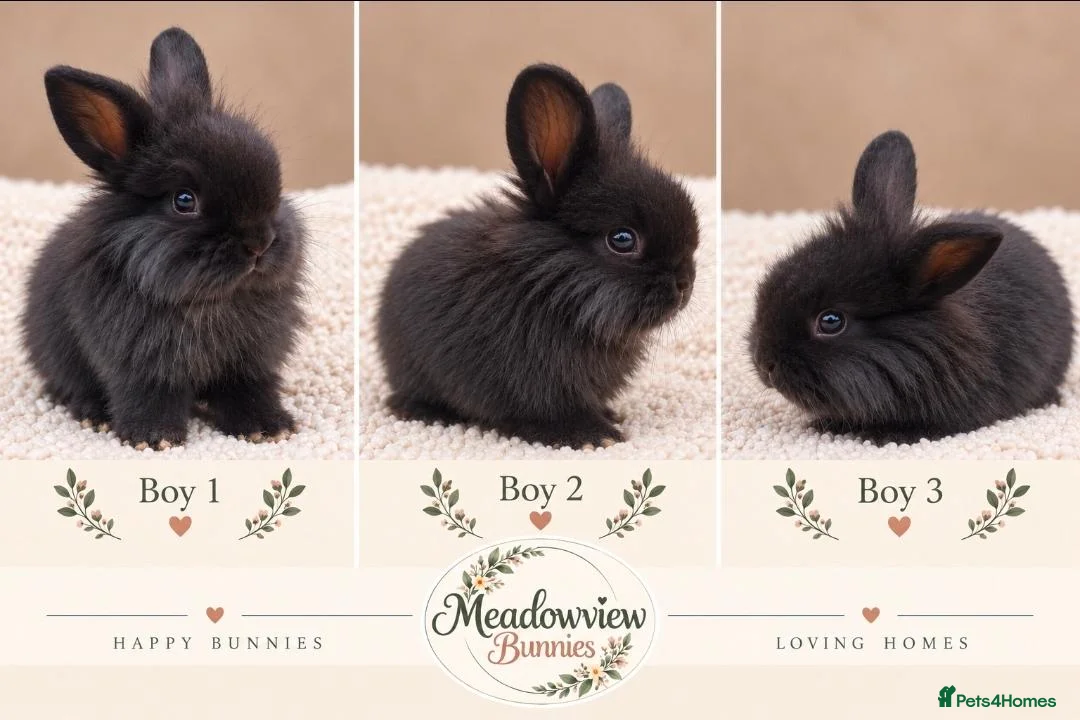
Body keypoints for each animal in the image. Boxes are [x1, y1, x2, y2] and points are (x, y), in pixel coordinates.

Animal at [21, 27, 307, 451]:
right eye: (183, 200)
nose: (260, 243)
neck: (209, 302)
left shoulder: (248, 363)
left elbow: (249, 391)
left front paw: (268, 428)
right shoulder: (137, 366)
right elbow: (147, 396)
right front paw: (154, 439)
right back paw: (94, 415)